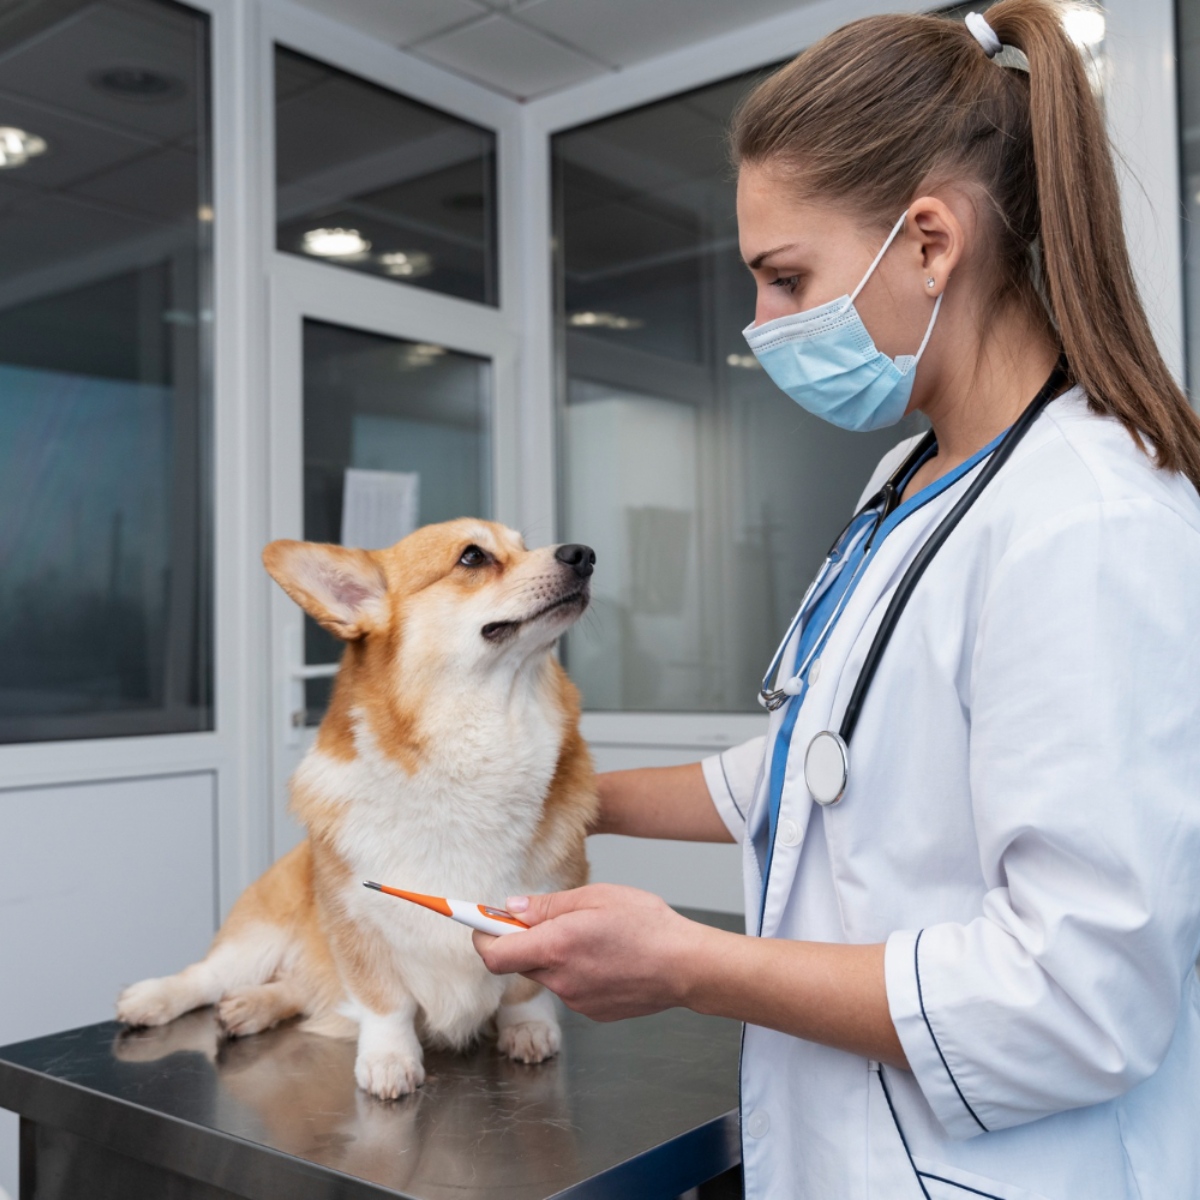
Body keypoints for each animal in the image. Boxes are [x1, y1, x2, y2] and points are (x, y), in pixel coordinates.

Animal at [117, 520, 595, 1099]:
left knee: (297, 988)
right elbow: (383, 1003)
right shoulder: (357, 926)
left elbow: (525, 991)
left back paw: (251, 1006)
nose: (584, 554)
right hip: (259, 934)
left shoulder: (545, 904)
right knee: (210, 975)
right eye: (473, 557)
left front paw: (528, 1030)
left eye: (525, 545)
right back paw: (154, 998)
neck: (475, 749)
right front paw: (390, 1060)